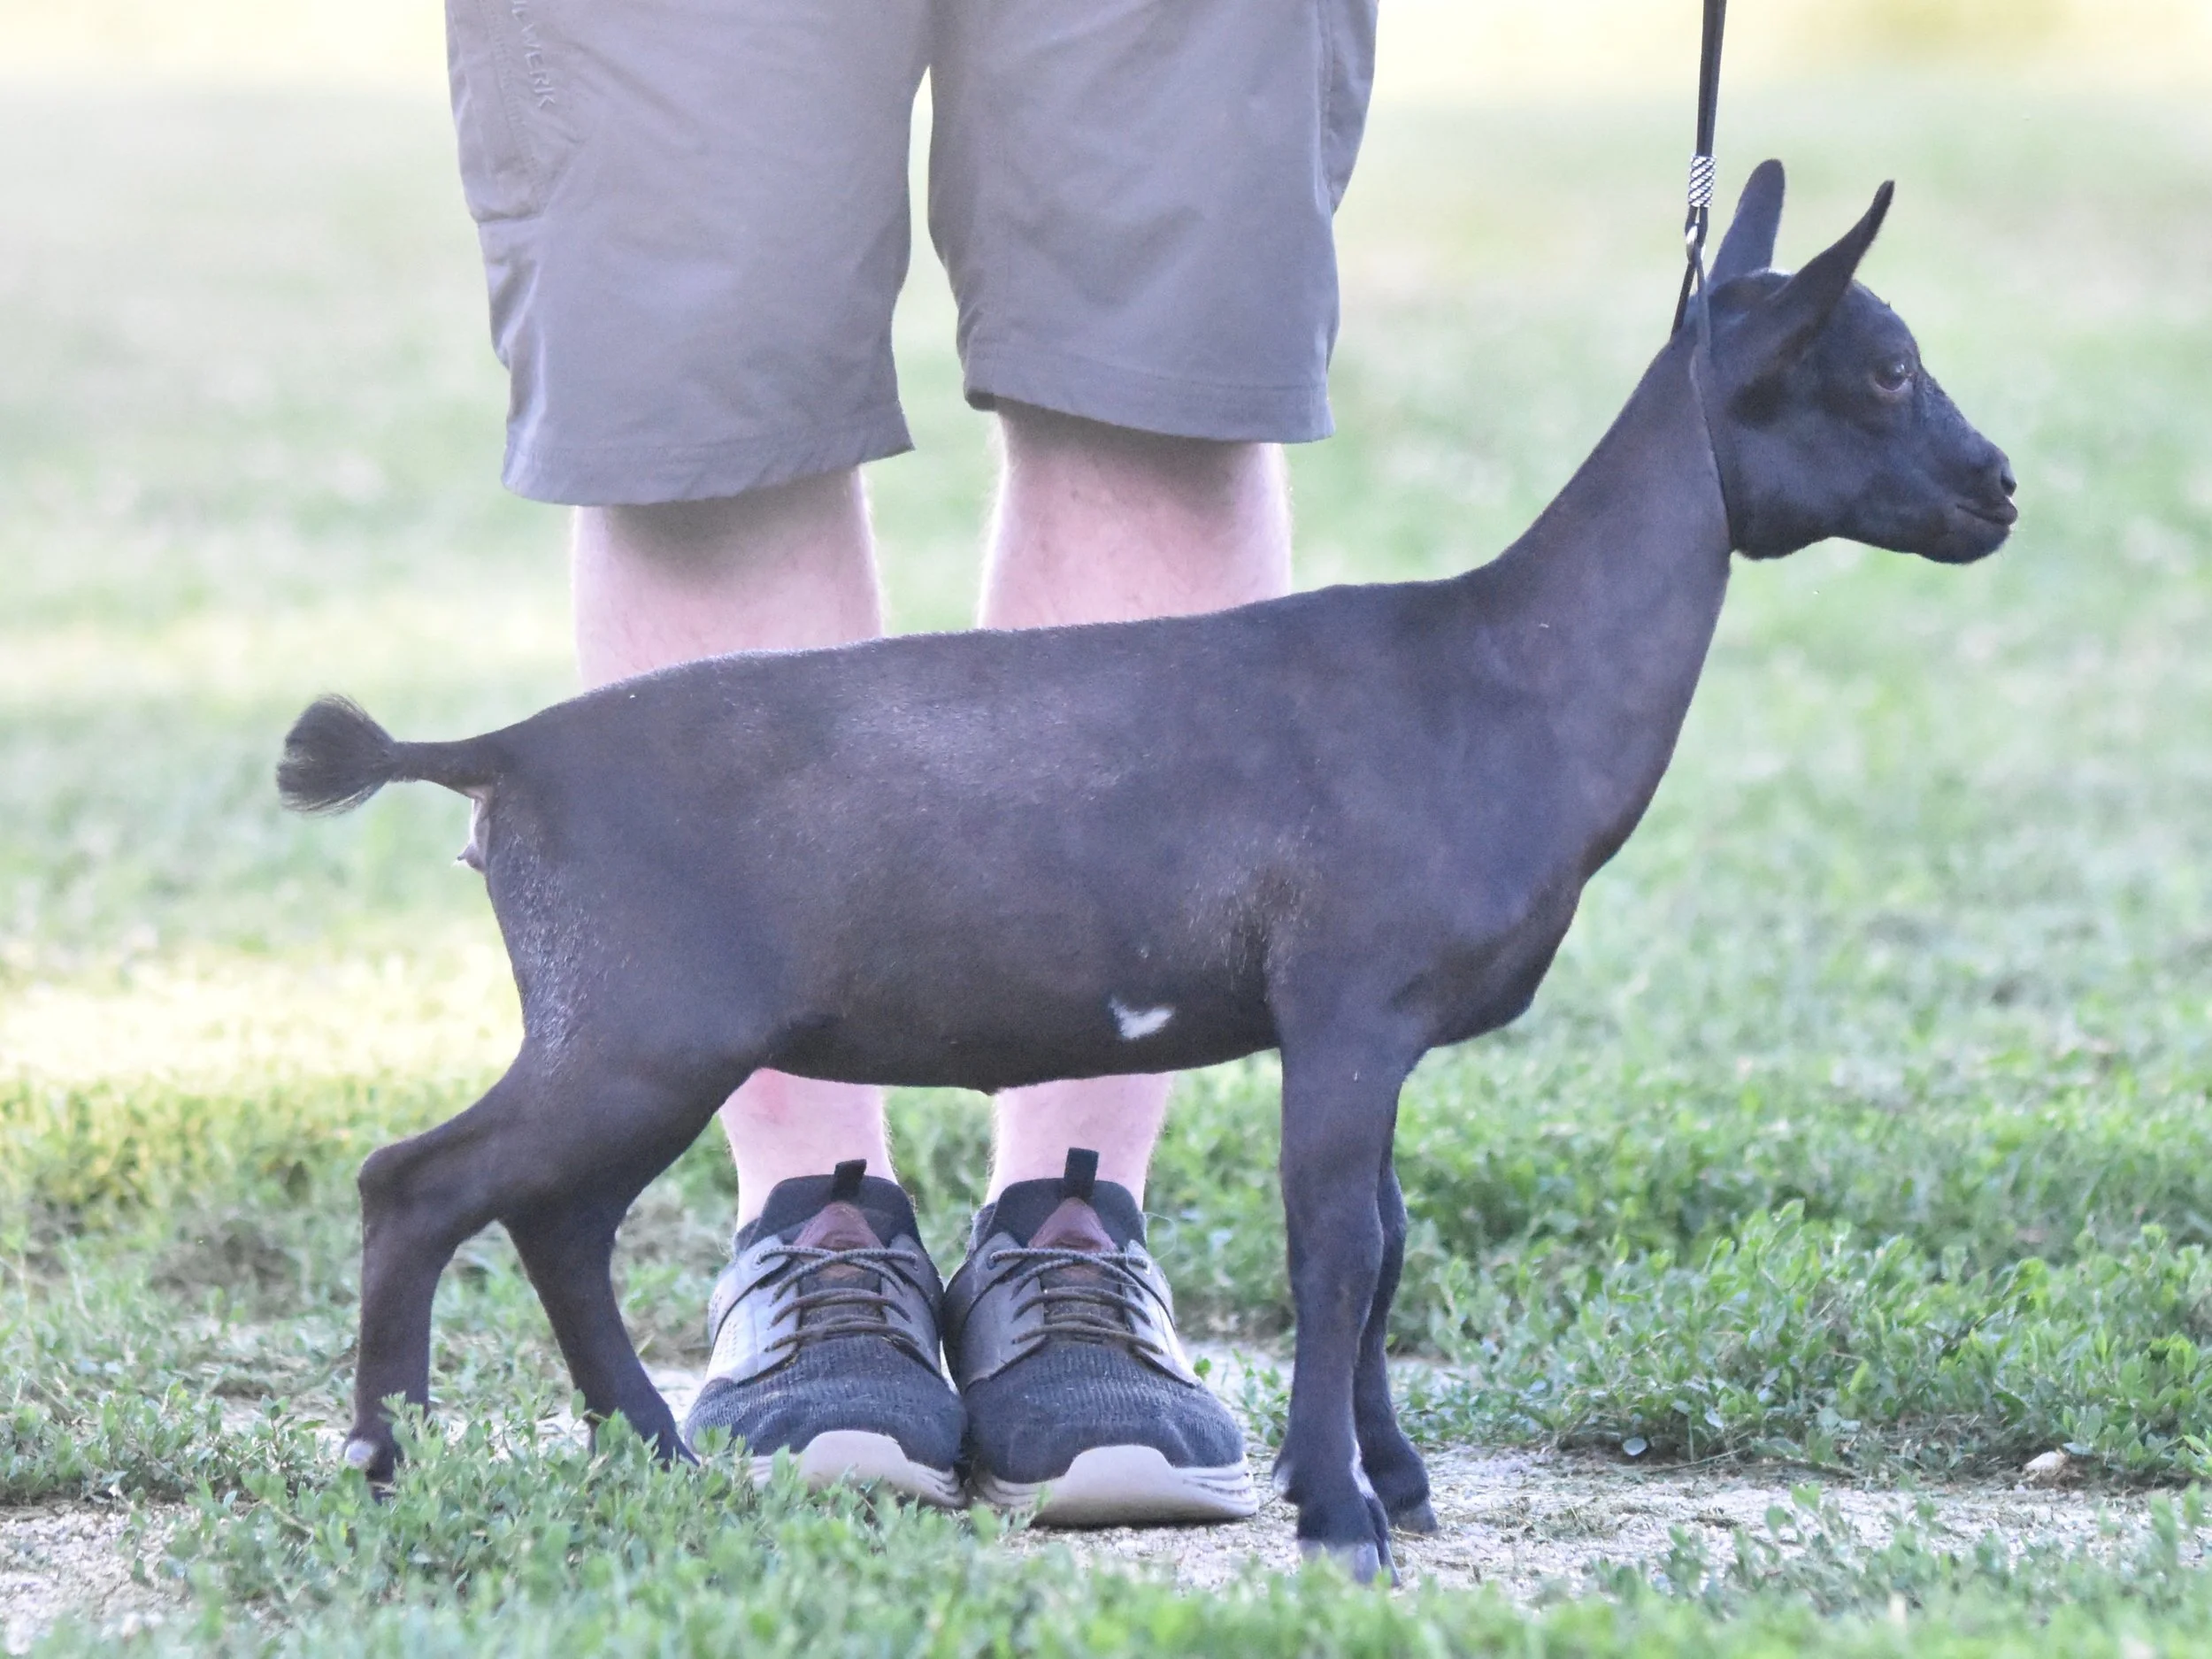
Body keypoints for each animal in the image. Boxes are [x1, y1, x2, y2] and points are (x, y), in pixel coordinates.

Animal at [278, 162, 2015, 1580]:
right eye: (1887, 366)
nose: (2001, 491)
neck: (1502, 672)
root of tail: (502, 758)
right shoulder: (1349, 1002)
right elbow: (1340, 1250)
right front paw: (1342, 1517)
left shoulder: (1368, 1030)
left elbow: (1387, 1244)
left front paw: (1392, 1479)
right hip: (639, 1025)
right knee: (423, 1182)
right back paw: (385, 1451)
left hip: (637, 1040)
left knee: (552, 1218)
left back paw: (652, 1456)